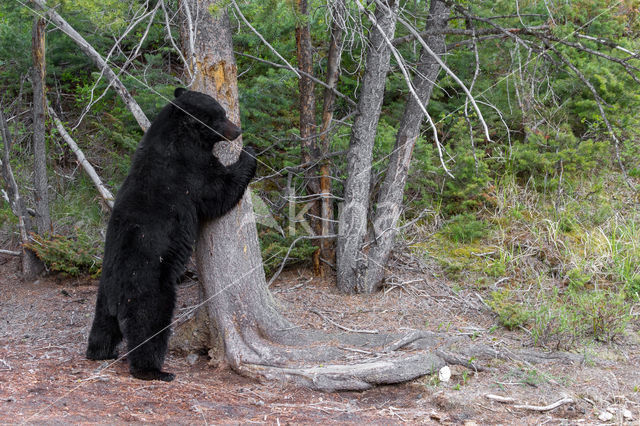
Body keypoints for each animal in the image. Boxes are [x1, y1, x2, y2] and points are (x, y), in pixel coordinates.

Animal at [86, 88, 256, 382]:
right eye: (220, 115)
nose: (238, 130)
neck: (179, 136)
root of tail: (117, 297)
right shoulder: (190, 170)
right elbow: (218, 192)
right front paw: (249, 154)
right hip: (150, 289)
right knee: (148, 327)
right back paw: (154, 370)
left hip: (103, 296)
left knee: (103, 327)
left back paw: (100, 352)